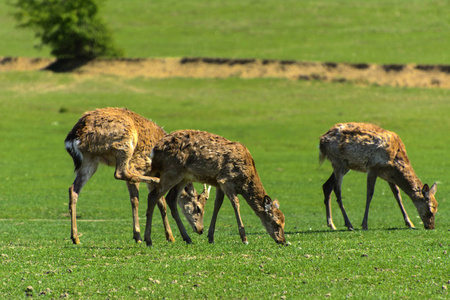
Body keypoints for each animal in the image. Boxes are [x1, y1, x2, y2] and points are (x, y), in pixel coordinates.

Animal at [64, 107, 210, 244]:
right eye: (198, 207)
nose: (201, 229)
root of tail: (75, 135)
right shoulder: (138, 165)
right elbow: (142, 200)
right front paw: (144, 236)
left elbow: (158, 203)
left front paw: (169, 237)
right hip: (124, 144)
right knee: (121, 173)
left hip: (90, 160)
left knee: (73, 189)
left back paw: (75, 237)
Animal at [142, 131, 286, 246]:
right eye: (276, 222)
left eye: (284, 222)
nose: (283, 241)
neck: (245, 179)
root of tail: (154, 151)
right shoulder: (226, 180)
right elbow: (236, 204)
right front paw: (244, 238)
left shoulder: (218, 183)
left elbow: (218, 205)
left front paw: (211, 237)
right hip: (171, 171)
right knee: (153, 196)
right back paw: (148, 240)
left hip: (183, 177)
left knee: (170, 199)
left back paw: (187, 238)